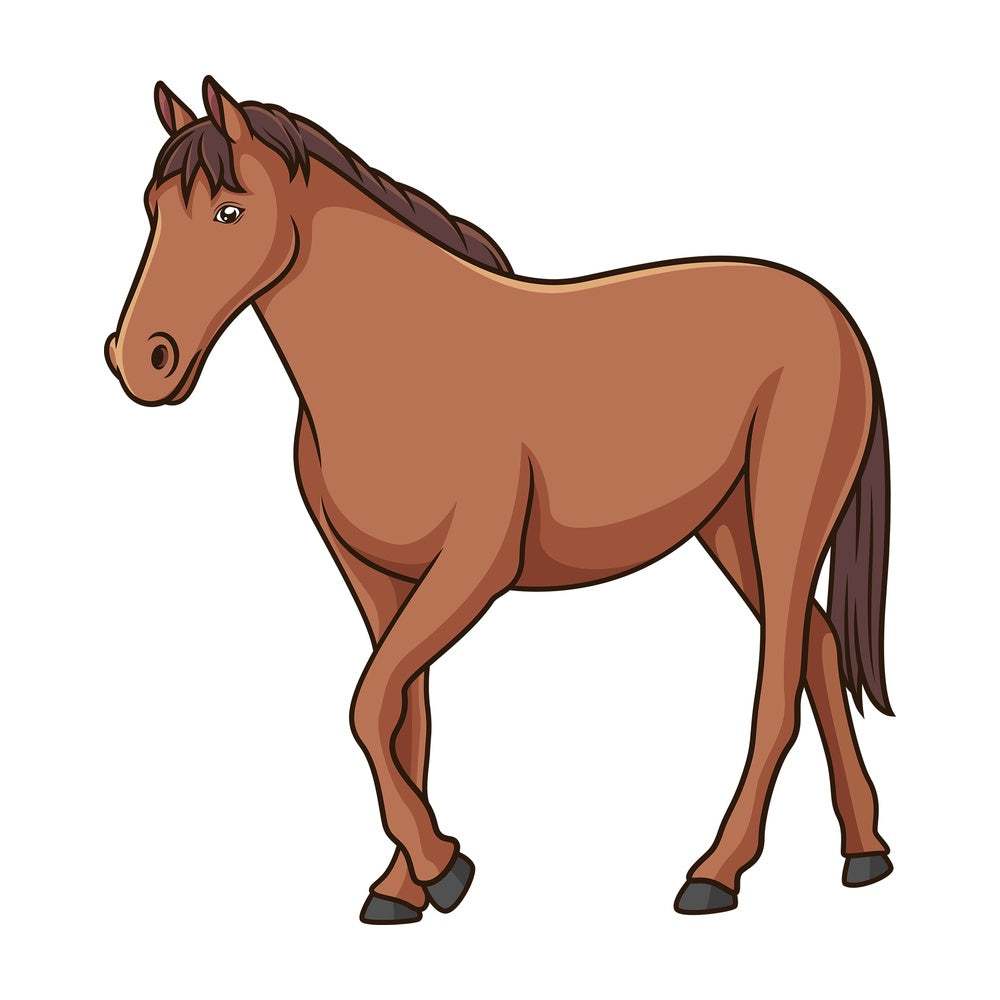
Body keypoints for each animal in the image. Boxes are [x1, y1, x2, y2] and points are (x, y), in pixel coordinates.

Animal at [106, 77, 893, 922]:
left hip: (785, 517)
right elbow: (402, 719)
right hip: (730, 527)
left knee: (779, 683)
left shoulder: (472, 571)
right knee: (818, 647)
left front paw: (444, 867)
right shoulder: (378, 581)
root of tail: (833, 314)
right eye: (152, 209)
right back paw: (864, 853)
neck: (399, 362)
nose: (143, 360)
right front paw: (400, 889)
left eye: (230, 211)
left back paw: (715, 873)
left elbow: (367, 705)